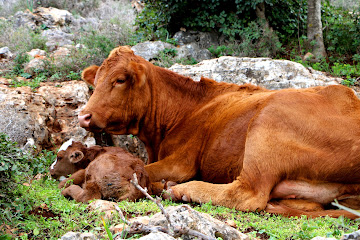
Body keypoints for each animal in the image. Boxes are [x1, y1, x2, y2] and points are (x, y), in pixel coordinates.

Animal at [78, 45, 360, 218]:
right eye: (96, 81)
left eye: (119, 80)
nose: (83, 115)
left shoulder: (182, 162)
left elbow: (145, 170)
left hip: (268, 120)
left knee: (246, 194)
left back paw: (182, 190)